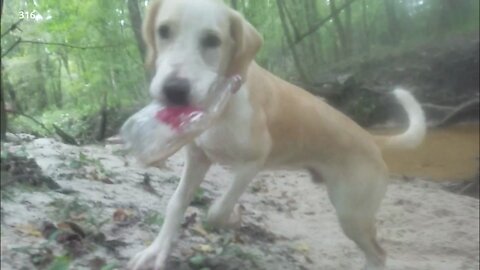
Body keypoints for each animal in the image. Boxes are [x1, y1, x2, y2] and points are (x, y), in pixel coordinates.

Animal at [129, 0, 426, 270]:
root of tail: (371, 138)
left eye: (212, 40)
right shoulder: (197, 157)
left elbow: (218, 211)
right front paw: (156, 251)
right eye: (163, 31)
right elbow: (176, 203)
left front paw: (231, 217)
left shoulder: (253, 162)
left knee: (378, 253)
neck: (224, 102)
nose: (174, 90)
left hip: (353, 214)